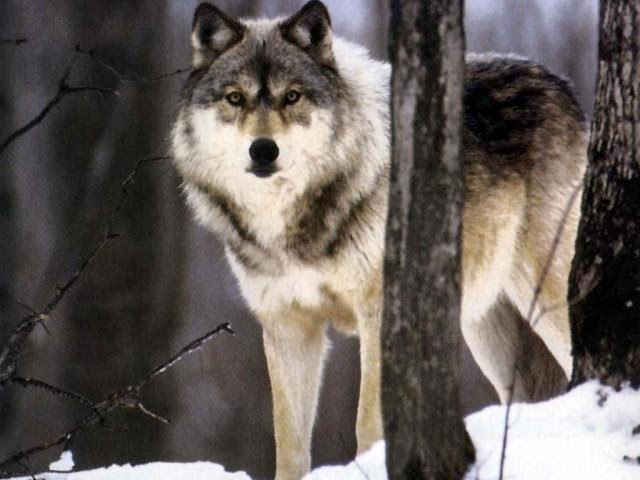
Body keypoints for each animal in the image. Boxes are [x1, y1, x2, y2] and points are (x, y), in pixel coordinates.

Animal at [171, 2, 587, 479]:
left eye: (292, 96)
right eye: (235, 98)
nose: (263, 150)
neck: (291, 223)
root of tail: (558, 81)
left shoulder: (379, 313)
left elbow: (369, 422)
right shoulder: (287, 324)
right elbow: (289, 442)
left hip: (548, 298)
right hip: (485, 329)